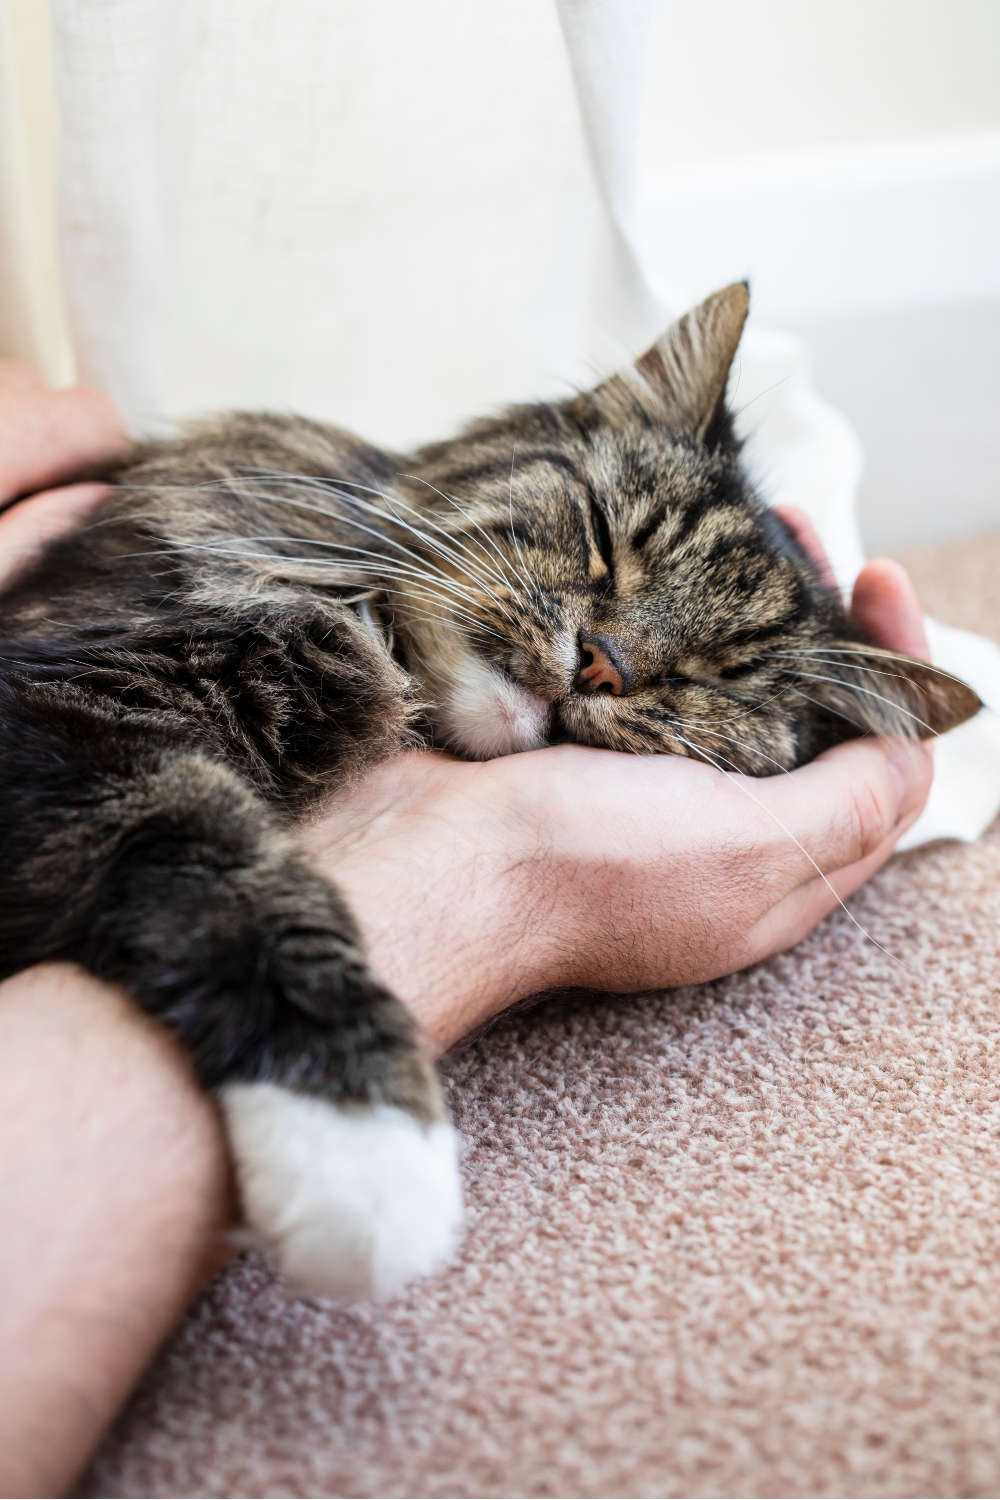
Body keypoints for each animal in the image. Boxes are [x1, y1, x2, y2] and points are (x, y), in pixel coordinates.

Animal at [0, 283, 977, 1302]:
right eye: (605, 540)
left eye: (716, 677)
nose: (602, 663)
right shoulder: (81, 710)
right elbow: (240, 887)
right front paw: (365, 1156)